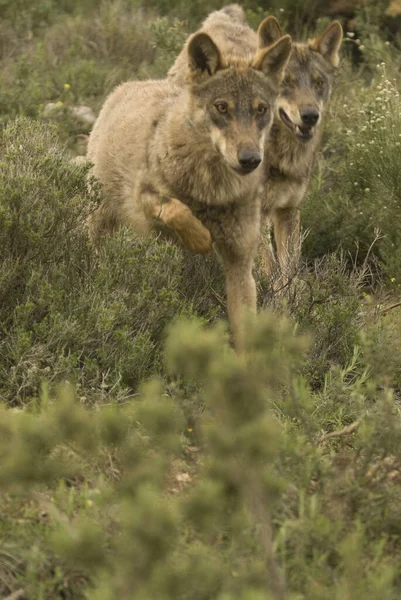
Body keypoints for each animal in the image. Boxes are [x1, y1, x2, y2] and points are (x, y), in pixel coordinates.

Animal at [86, 31, 290, 352]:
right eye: (222, 107)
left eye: (261, 109)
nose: (250, 159)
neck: (212, 190)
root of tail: (128, 85)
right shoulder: (144, 199)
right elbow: (178, 209)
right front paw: (201, 239)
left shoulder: (240, 263)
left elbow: (245, 334)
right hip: (102, 219)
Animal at [167, 4, 342, 286]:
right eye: (287, 81)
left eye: (319, 83)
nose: (310, 116)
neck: (281, 159)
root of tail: (224, 15)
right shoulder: (252, 214)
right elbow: (272, 269)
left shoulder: (288, 211)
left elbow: (291, 270)